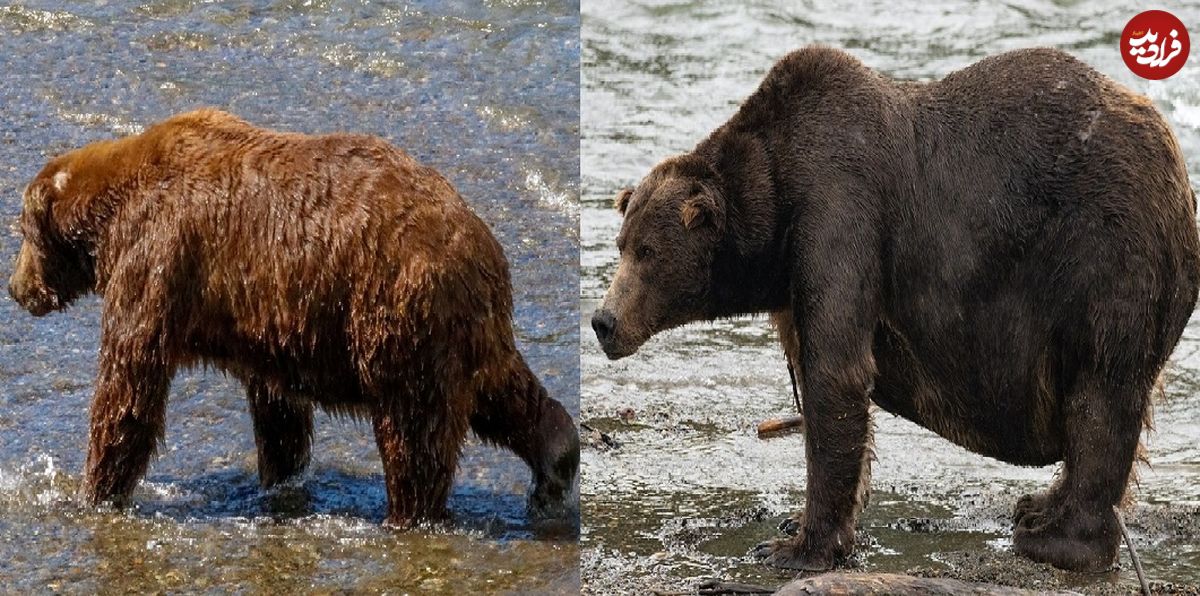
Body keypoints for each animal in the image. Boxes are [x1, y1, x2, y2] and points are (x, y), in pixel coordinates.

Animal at [4, 107, 576, 525]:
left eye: (23, 233)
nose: (15, 287)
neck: (110, 217)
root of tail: (481, 248)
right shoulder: (270, 323)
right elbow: (278, 411)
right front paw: (280, 476)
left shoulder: (157, 260)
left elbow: (128, 387)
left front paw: (92, 492)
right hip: (466, 331)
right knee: (508, 395)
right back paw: (554, 466)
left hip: (397, 314)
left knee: (415, 435)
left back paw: (407, 515)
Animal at [590, 47, 1200, 570]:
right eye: (622, 244)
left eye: (647, 252)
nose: (603, 321)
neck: (775, 209)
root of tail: (1177, 165)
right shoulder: (794, 276)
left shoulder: (840, 212)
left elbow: (836, 375)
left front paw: (793, 545)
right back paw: (1037, 506)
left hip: (1105, 251)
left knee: (1102, 390)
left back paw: (1056, 540)